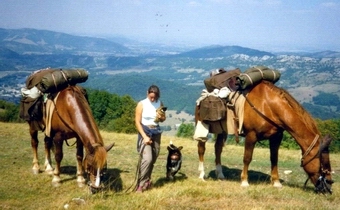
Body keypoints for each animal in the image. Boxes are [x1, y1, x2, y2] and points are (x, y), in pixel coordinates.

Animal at [195, 80, 334, 194]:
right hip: (203, 125)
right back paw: (201, 175)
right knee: (201, 149)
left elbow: (274, 159)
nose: (329, 185)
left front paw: (276, 182)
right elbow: (247, 158)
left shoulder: (276, 137)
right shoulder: (251, 135)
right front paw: (244, 181)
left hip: (222, 131)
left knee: (218, 148)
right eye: (323, 162)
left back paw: (220, 175)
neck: (269, 106)